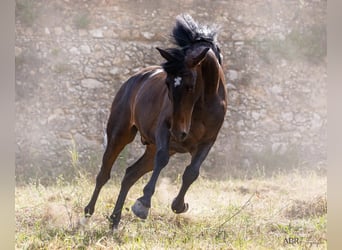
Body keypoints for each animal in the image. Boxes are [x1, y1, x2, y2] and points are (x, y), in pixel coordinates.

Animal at [84, 13, 227, 229]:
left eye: (190, 86)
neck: (205, 103)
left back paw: (115, 219)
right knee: (104, 173)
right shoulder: (164, 129)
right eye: (167, 83)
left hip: (153, 147)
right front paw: (143, 204)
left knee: (130, 174)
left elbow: (192, 172)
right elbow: (162, 159)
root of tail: (133, 79)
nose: (179, 132)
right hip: (120, 133)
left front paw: (179, 205)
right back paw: (88, 211)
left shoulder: (208, 140)